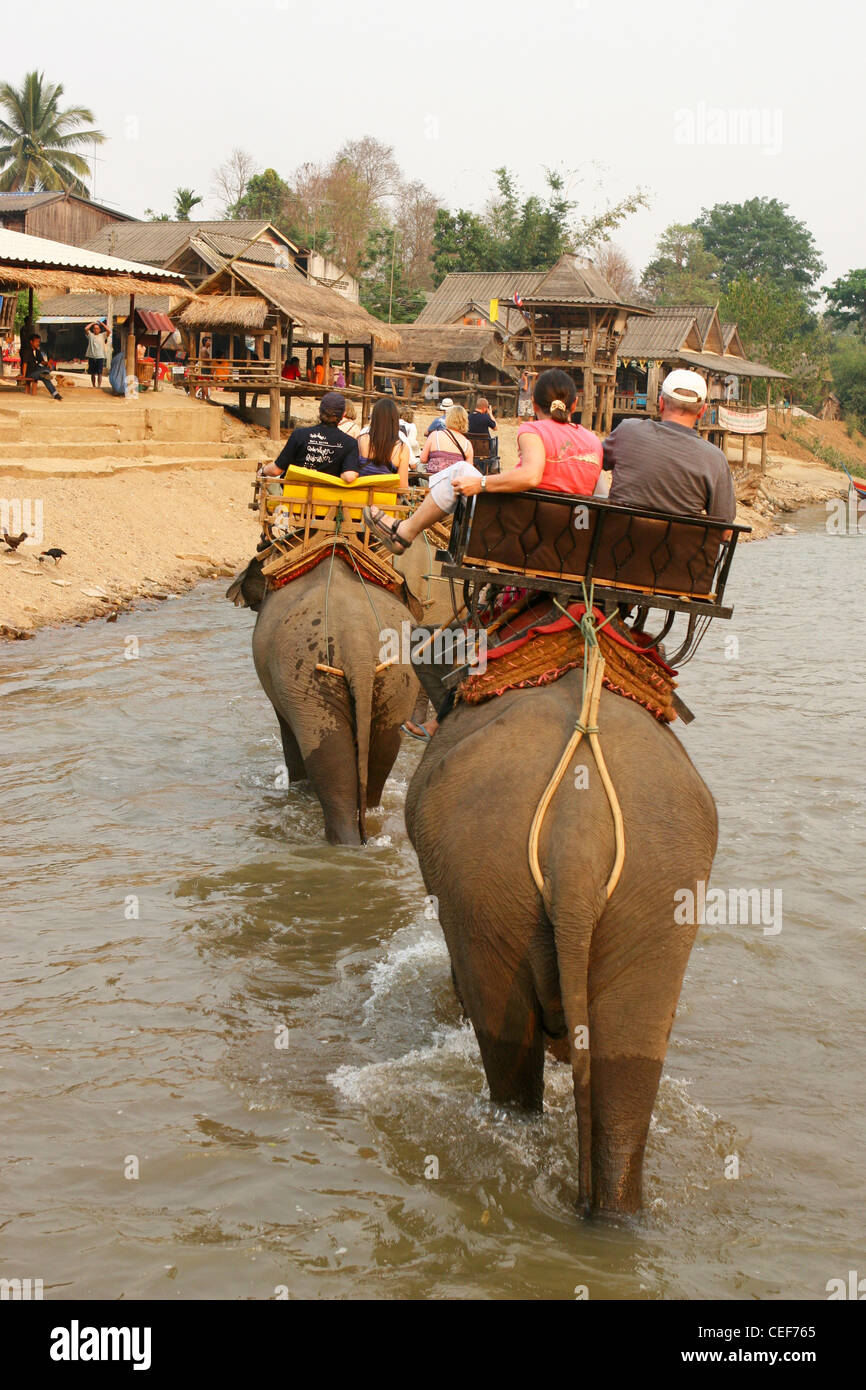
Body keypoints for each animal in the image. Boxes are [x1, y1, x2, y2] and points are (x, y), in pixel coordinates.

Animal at [234, 530, 453, 839]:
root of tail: (356, 642)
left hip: (308, 679)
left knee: (327, 758)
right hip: (396, 680)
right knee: (383, 752)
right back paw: (369, 824)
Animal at [405, 669, 717, 1217]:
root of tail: (577, 842)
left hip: (481, 885)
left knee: (508, 1057)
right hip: (659, 894)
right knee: (623, 1080)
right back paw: (615, 1213)